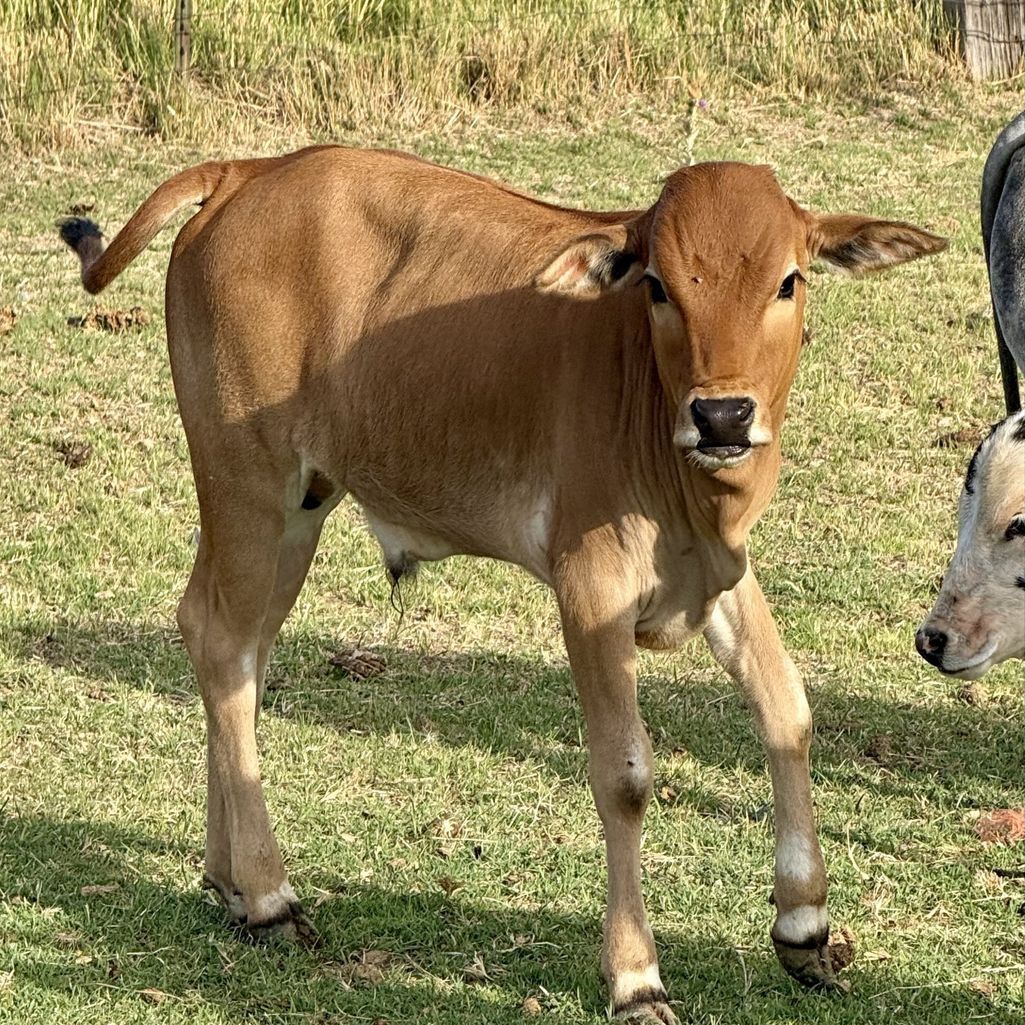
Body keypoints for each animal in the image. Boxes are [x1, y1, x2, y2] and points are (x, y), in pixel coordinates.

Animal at [60, 147, 944, 1021]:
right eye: (658, 285)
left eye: (788, 279)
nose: (721, 415)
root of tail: (248, 169)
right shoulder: (590, 588)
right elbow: (625, 773)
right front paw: (635, 975)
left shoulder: (720, 568)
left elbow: (785, 709)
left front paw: (804, 921)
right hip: (247, 484)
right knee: (223, 647)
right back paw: (270, 893)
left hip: (298, 508)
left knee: (231, 648)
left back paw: (229, 878)